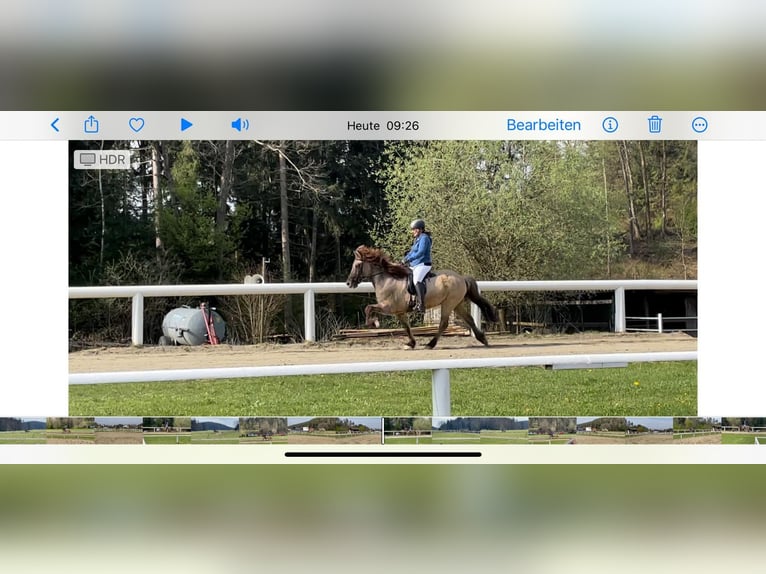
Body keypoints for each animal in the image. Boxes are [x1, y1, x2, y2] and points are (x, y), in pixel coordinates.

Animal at [345, 245, 499, 349]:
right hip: (457, 304)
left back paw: (431, 344)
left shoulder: (388, 307)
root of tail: (461, 278)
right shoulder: (399, 312)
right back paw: (482, 339)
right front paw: (411, 343)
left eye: (357, 265)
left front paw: (373, 323)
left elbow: (368, 308)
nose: (348, 283)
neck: (387, 279)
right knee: (470, 319)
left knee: (444, 323)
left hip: (448, 303)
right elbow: (406, 327)